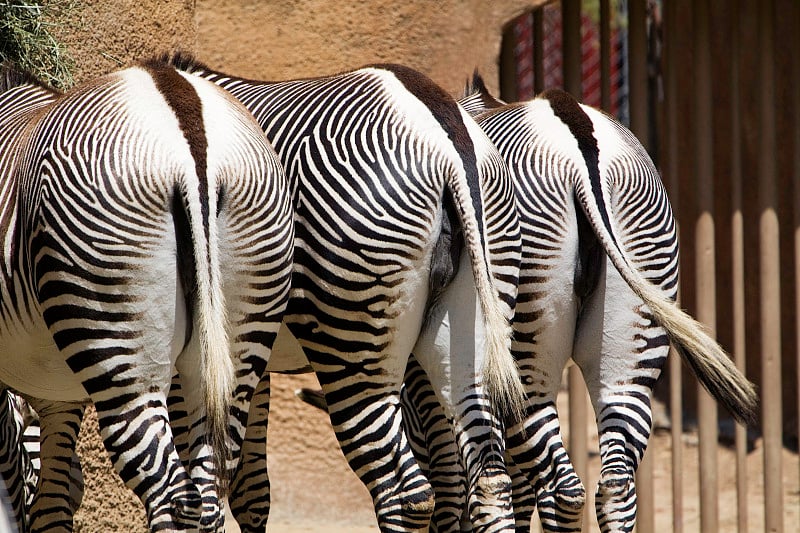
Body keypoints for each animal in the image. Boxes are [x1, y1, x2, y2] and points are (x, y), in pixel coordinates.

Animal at [0, 60, 294, 528]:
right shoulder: (57, 394)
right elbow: (51, 504)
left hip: (116, 338)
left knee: (169, 492)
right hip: (242, 334)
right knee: (207, 495)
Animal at [166, 55, 528, 532]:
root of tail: (446, 136)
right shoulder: (245, 356)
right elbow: (251, 490)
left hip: (352, 341)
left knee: (405, 492)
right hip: (471, 322)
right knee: (488, 478)